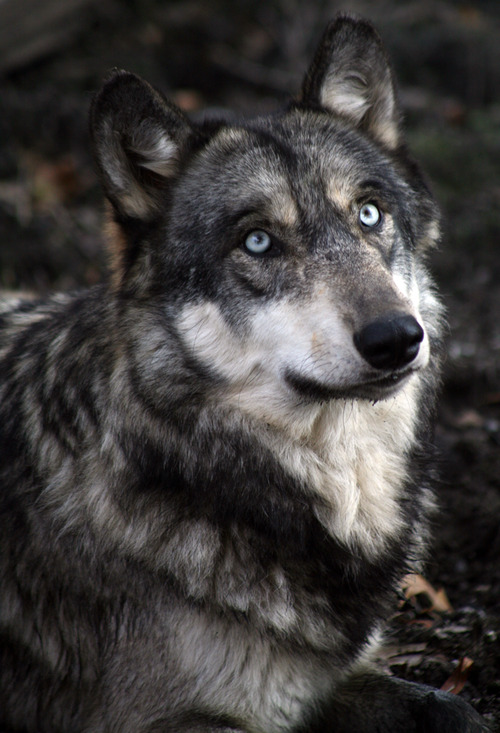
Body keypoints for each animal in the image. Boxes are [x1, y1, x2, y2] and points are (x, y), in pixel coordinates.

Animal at [0, 12, 486, 732]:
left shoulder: (331, 679)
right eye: (258, 241)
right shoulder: (167, 718)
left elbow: (451, 708)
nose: (397, 338)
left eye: (369, 213)